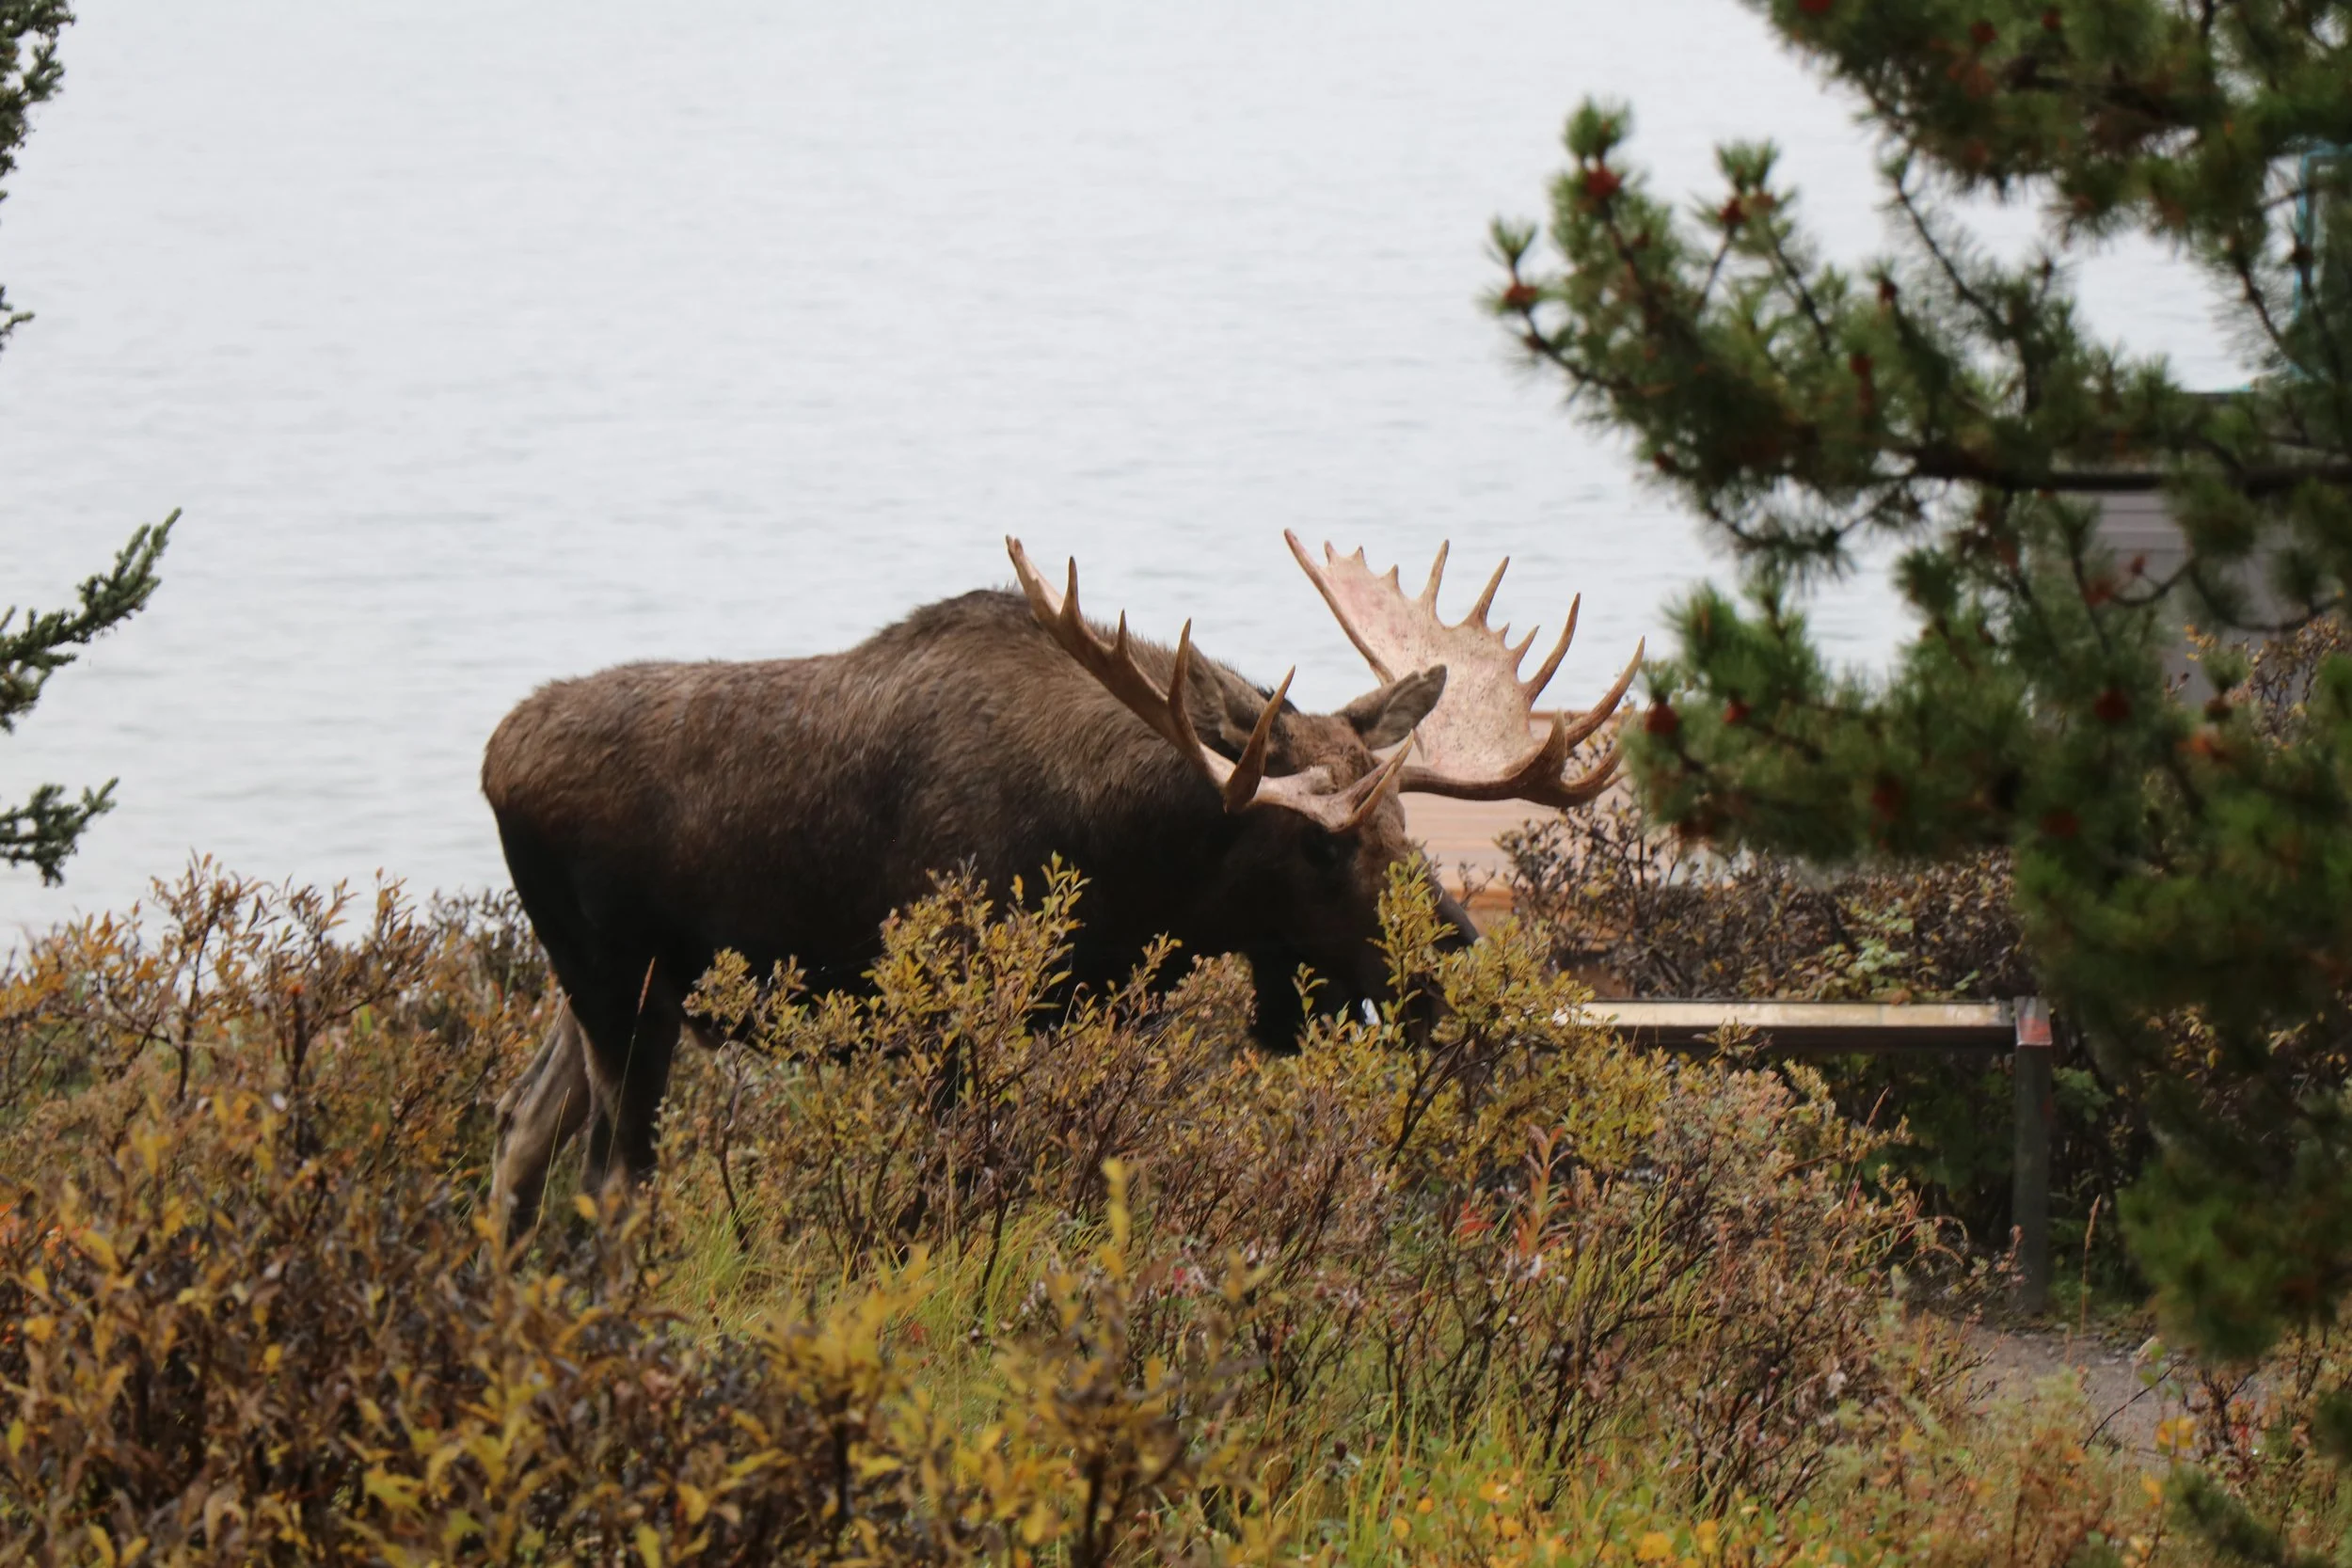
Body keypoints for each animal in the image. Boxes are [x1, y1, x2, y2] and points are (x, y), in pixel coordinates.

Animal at [484, 533, 1638, 1238]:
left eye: (1405, 820)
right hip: (619, 991)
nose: (1458, 962)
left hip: (600, 993)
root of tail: (494, 759)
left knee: (520, 1125)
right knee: (609, 1178)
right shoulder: (953, 1021)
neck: (1129, 877)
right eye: (1322, 845)